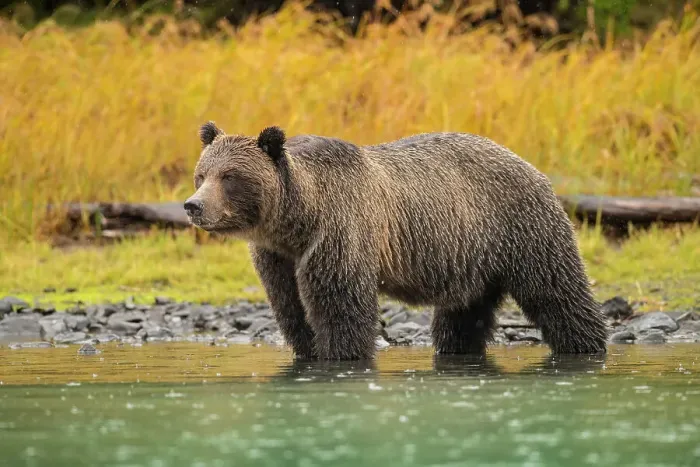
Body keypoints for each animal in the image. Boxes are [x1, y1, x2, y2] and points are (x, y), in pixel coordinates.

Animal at [184, 122, 608, 360]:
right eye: (202, 174)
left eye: (230, 177)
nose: (193, 206)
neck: (298, 220)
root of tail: (531, 166)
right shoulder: (278, 257)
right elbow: (291, 308)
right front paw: (307, 351)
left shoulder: (340, 232)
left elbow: (341, 306)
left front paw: (340, 354)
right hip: (470, 257)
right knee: (463, 314)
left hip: (522, 227)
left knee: (557, 292)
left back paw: (586, 345)